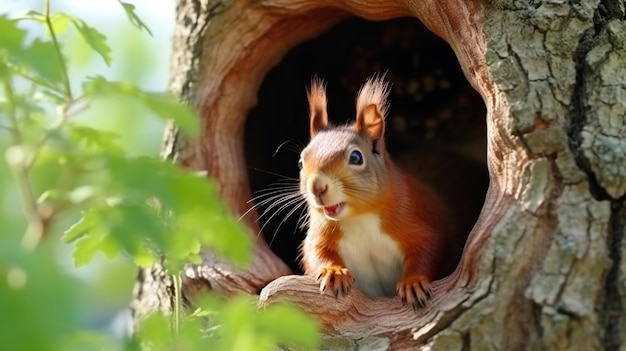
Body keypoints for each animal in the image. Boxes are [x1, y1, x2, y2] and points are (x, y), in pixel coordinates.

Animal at [298, 75, 448, 310]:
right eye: (301, 161)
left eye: (356, 157)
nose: (317, 188)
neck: (359, 218)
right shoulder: (322, 231)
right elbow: (315, 252)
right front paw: (333, 272)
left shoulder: (416, 217)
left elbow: (429, 248)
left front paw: (413, 283)